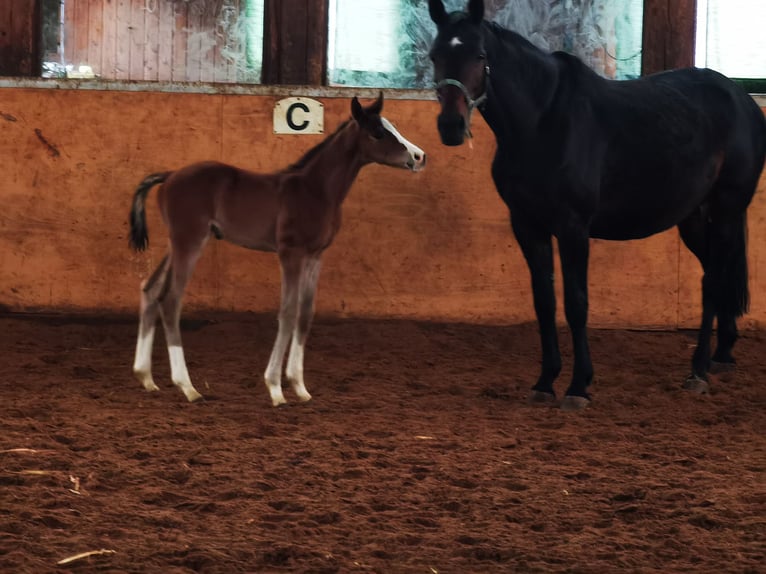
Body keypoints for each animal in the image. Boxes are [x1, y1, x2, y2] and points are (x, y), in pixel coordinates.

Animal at [128, 94, 426, 406]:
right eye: (379, 132)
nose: (419, 157)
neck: (316, 189)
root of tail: (170, 175)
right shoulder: (290, 253)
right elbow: (288, 312)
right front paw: (275, 387)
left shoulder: (315, 256)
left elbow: (305, 314)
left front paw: (300, 387)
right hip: (189, 241)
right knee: (170, 300)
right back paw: (187, 387)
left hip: (177, 245)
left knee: (150, 290)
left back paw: (146, 378)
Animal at [428, 0, 766, 410]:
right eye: (435, 55)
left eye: (479, 55)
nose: (450, 126)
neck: (542, 123)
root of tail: (742, 99)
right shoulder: (527, 225)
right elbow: (544, 302)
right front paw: (545, 382)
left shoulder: (573, 227)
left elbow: (576, 304)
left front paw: (578, 387)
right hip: (695, 219)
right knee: (714, 276)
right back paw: (721, 356)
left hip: (727, 209)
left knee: (716, 278)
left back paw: (698, 371)